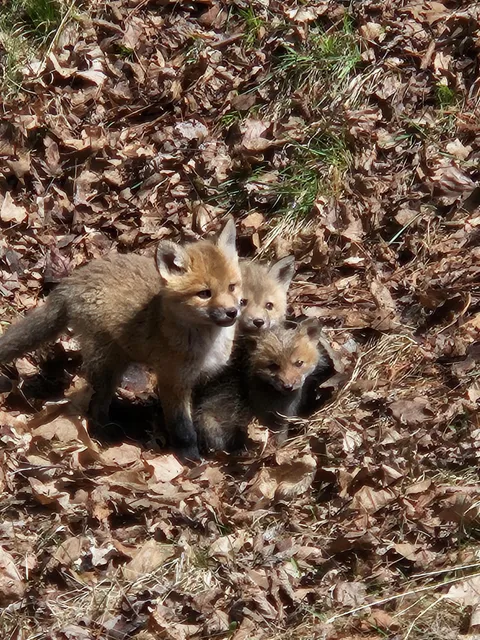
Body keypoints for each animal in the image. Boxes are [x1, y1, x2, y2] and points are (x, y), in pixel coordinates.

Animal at [0, 218, 241, 461]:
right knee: (96, 406)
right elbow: (183, 428)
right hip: (108, 367)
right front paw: (190, 458)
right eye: (204, 294)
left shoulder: (200, 378)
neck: (207, 344)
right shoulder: (173, 381)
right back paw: (104, 435)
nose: (232, 312)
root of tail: (75, 278)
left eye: (232, 287)